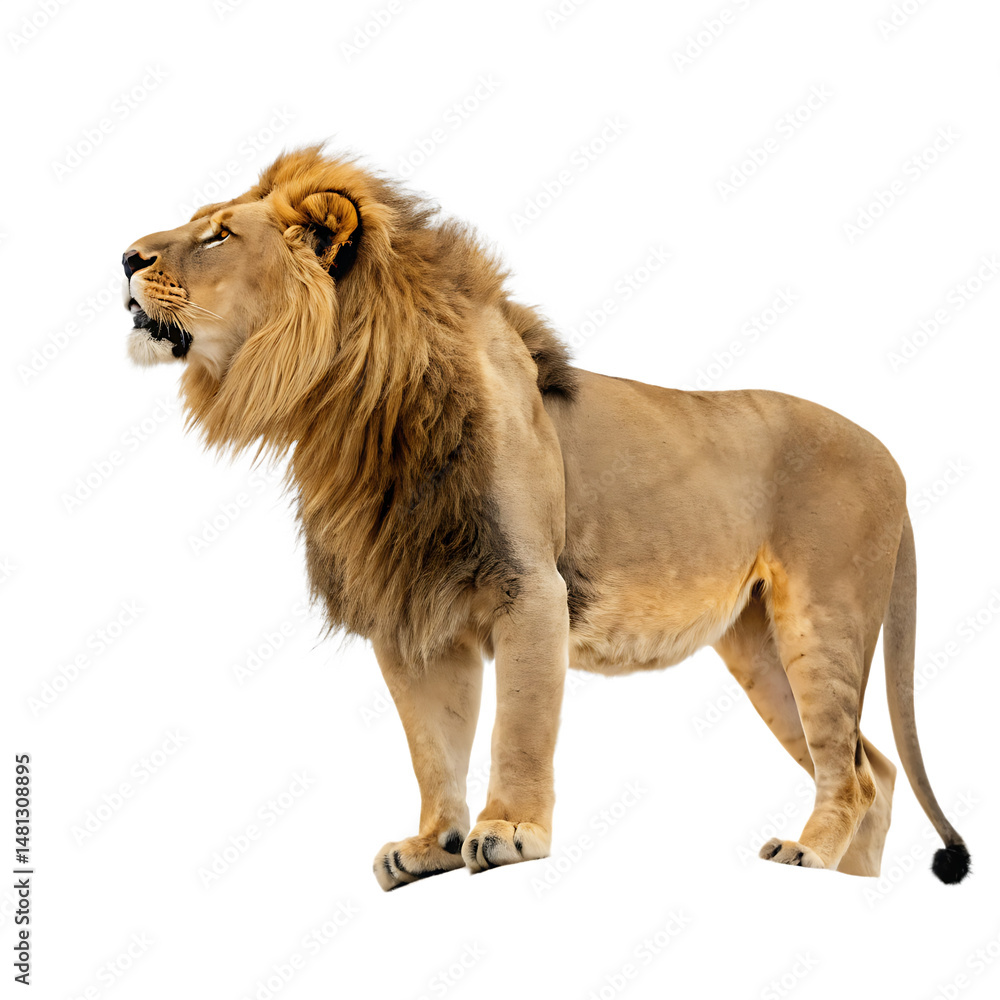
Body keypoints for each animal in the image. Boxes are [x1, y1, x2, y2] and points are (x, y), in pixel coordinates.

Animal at [122, 145, 970, 890]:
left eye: (218, 235)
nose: (125, 258)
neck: (352, 410)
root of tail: (892, 456)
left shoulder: (529, 588)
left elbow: (518, 725)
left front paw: (509, 831)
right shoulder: (411, 610)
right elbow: (433, 742)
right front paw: (432, 846)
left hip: (822, 620)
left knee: (851, 770)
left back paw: (808, 856)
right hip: (759, 644)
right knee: (874, 768)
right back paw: (851, 883)